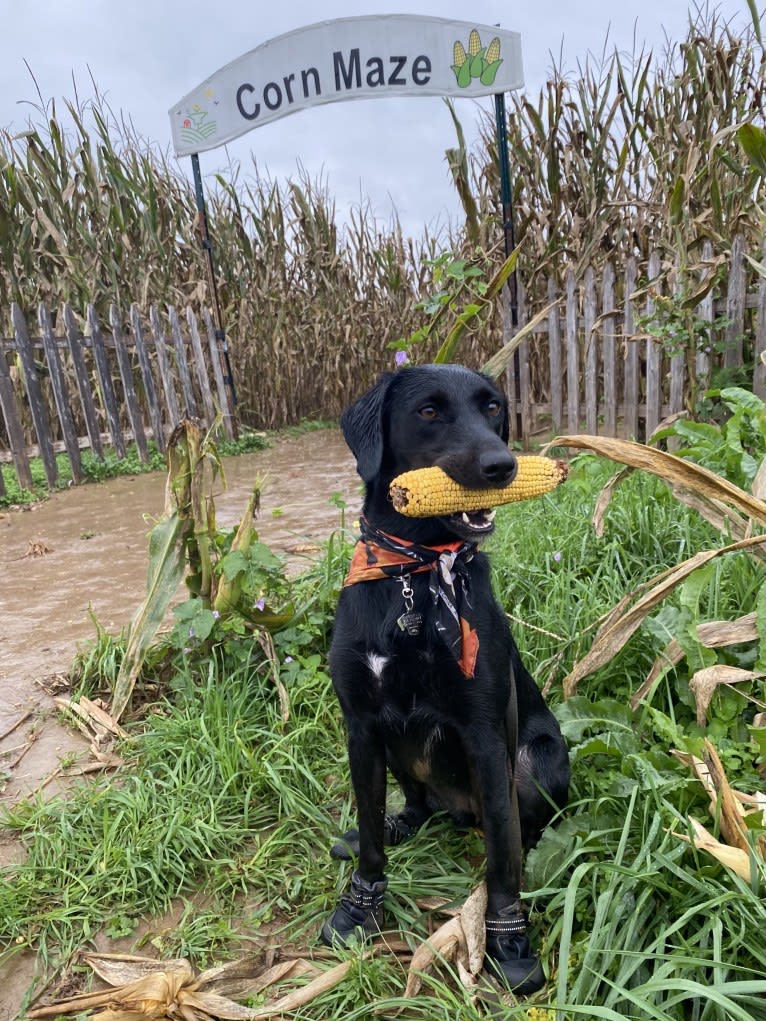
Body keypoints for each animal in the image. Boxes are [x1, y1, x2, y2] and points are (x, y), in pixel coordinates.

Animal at [318, 363, 571, 992]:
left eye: (492, 408)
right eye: (429, 411)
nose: (502, 466)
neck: (415, 572)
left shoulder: (485, 735)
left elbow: (502, 860)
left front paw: (507, 941)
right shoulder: (361, 727)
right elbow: (370, 838)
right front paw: (360, 908)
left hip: (538, 757)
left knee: (520, 826)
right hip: (398, 750)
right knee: (415, 804)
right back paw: (400, 823)